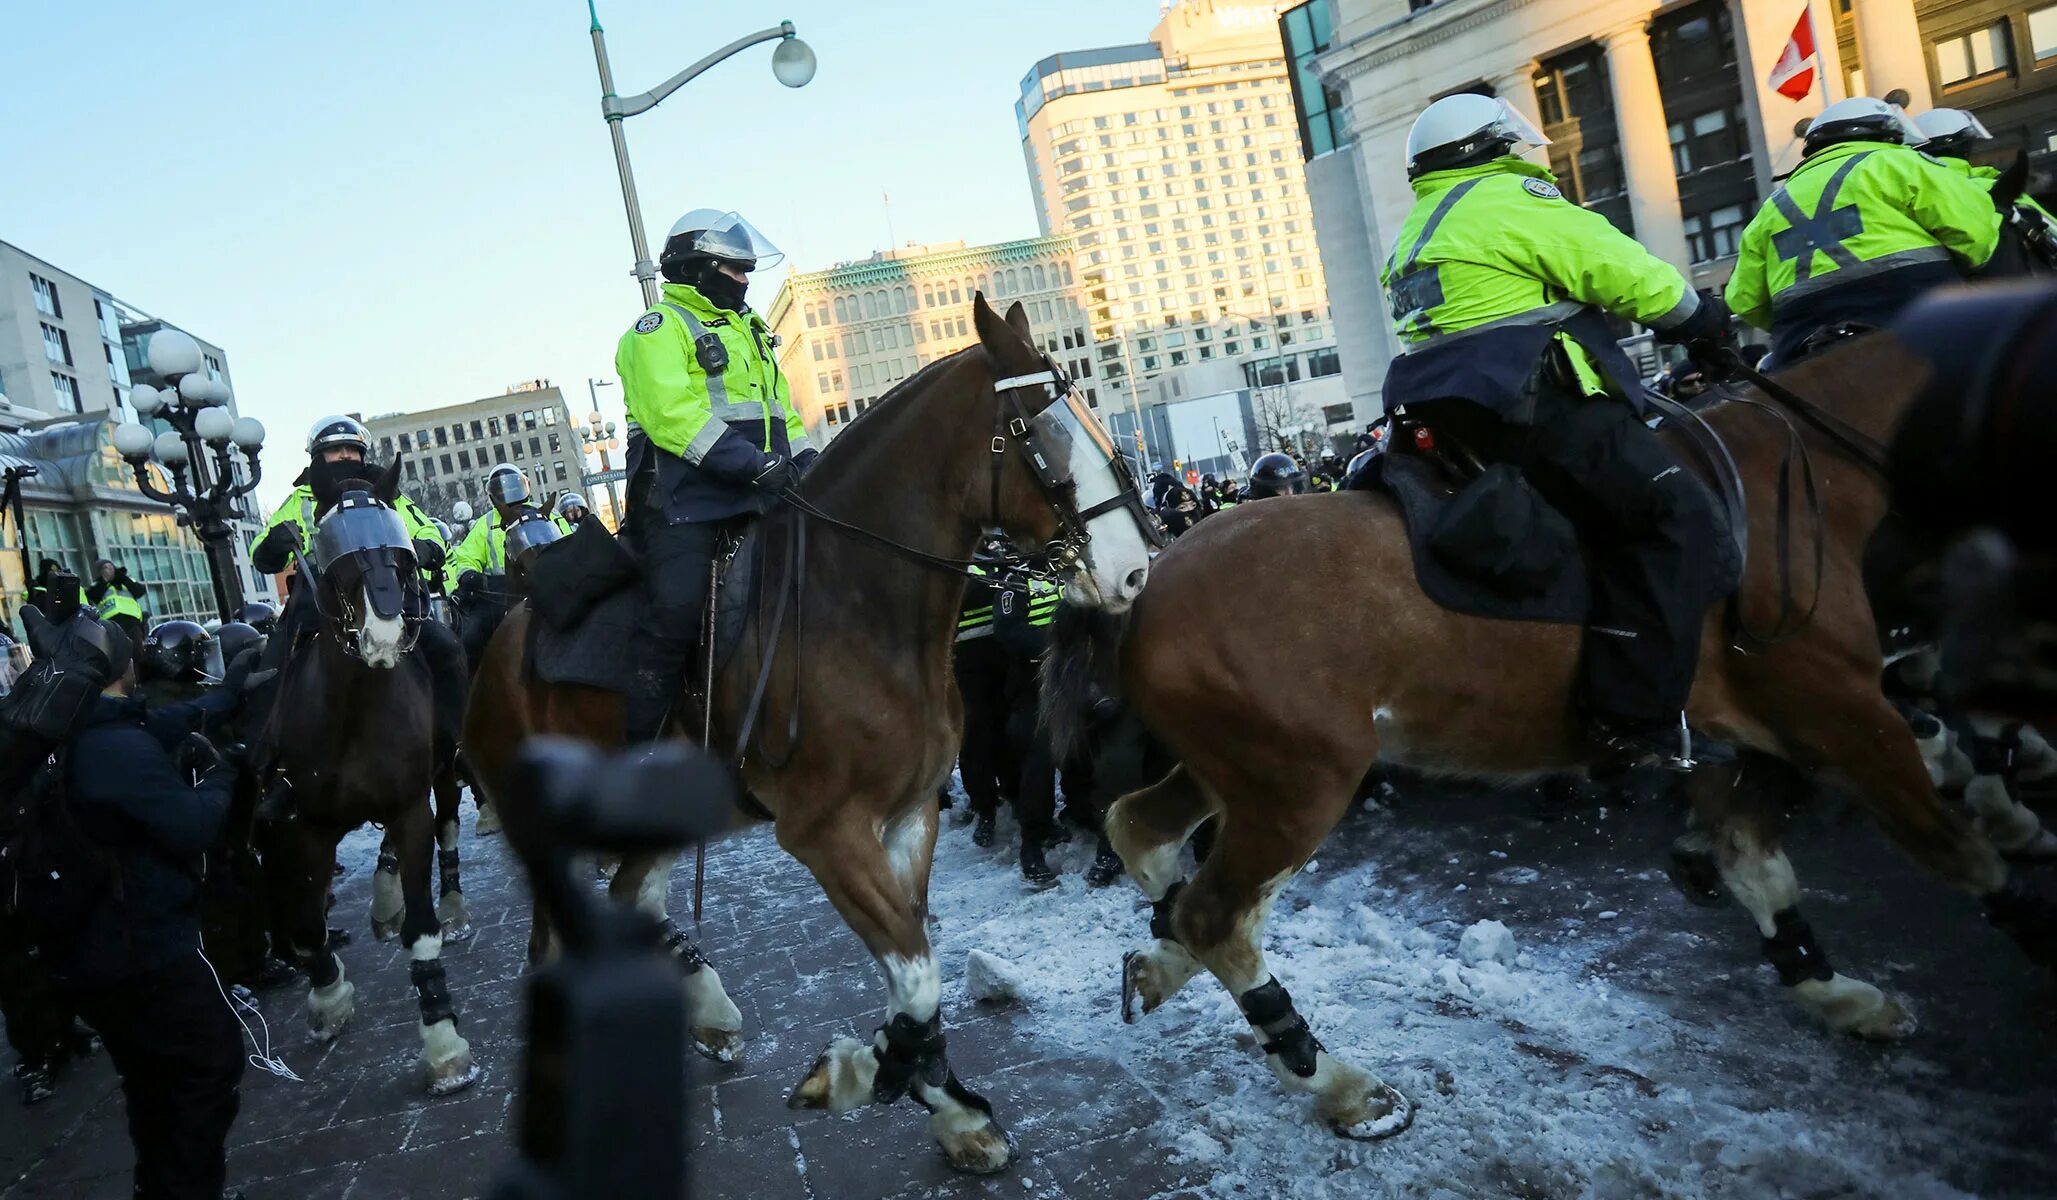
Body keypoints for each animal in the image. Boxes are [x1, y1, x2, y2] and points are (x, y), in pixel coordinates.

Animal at [259, 467, 475, 1095]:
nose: (383, 634)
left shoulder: (408, 810)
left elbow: (422, 930)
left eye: (398, 549)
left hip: (443, 776)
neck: (352, 711)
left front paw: (443, 1043)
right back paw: (383, 901)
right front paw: (327, 1000)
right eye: (335, 547)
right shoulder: (302, 827)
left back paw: (452, 908)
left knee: (448, 829)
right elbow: (307, 925)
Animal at [468, 298, 1168, 1177]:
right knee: (557, 941)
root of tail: (499, 641)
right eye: (1037, 432)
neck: (855, 609)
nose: (1135, 570)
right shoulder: (824, 832)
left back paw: (707, 1010)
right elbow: (915, 971)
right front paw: (867, 1075)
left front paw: (941, 1102)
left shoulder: (910, 815)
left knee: (632, 897)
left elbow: (915, 972)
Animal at [1053, 333, 2048, 1144]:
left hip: (1239, 772)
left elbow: (1754, 852)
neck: (1803, 480)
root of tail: (1141, 591)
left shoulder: (1784, 729)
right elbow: (1954, 848)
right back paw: (1339, 1083)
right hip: (1297, 785)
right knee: (1214, 912)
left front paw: (1836, 991)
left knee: (1143, 835)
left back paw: (1160, 962)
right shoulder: (1839, 713)